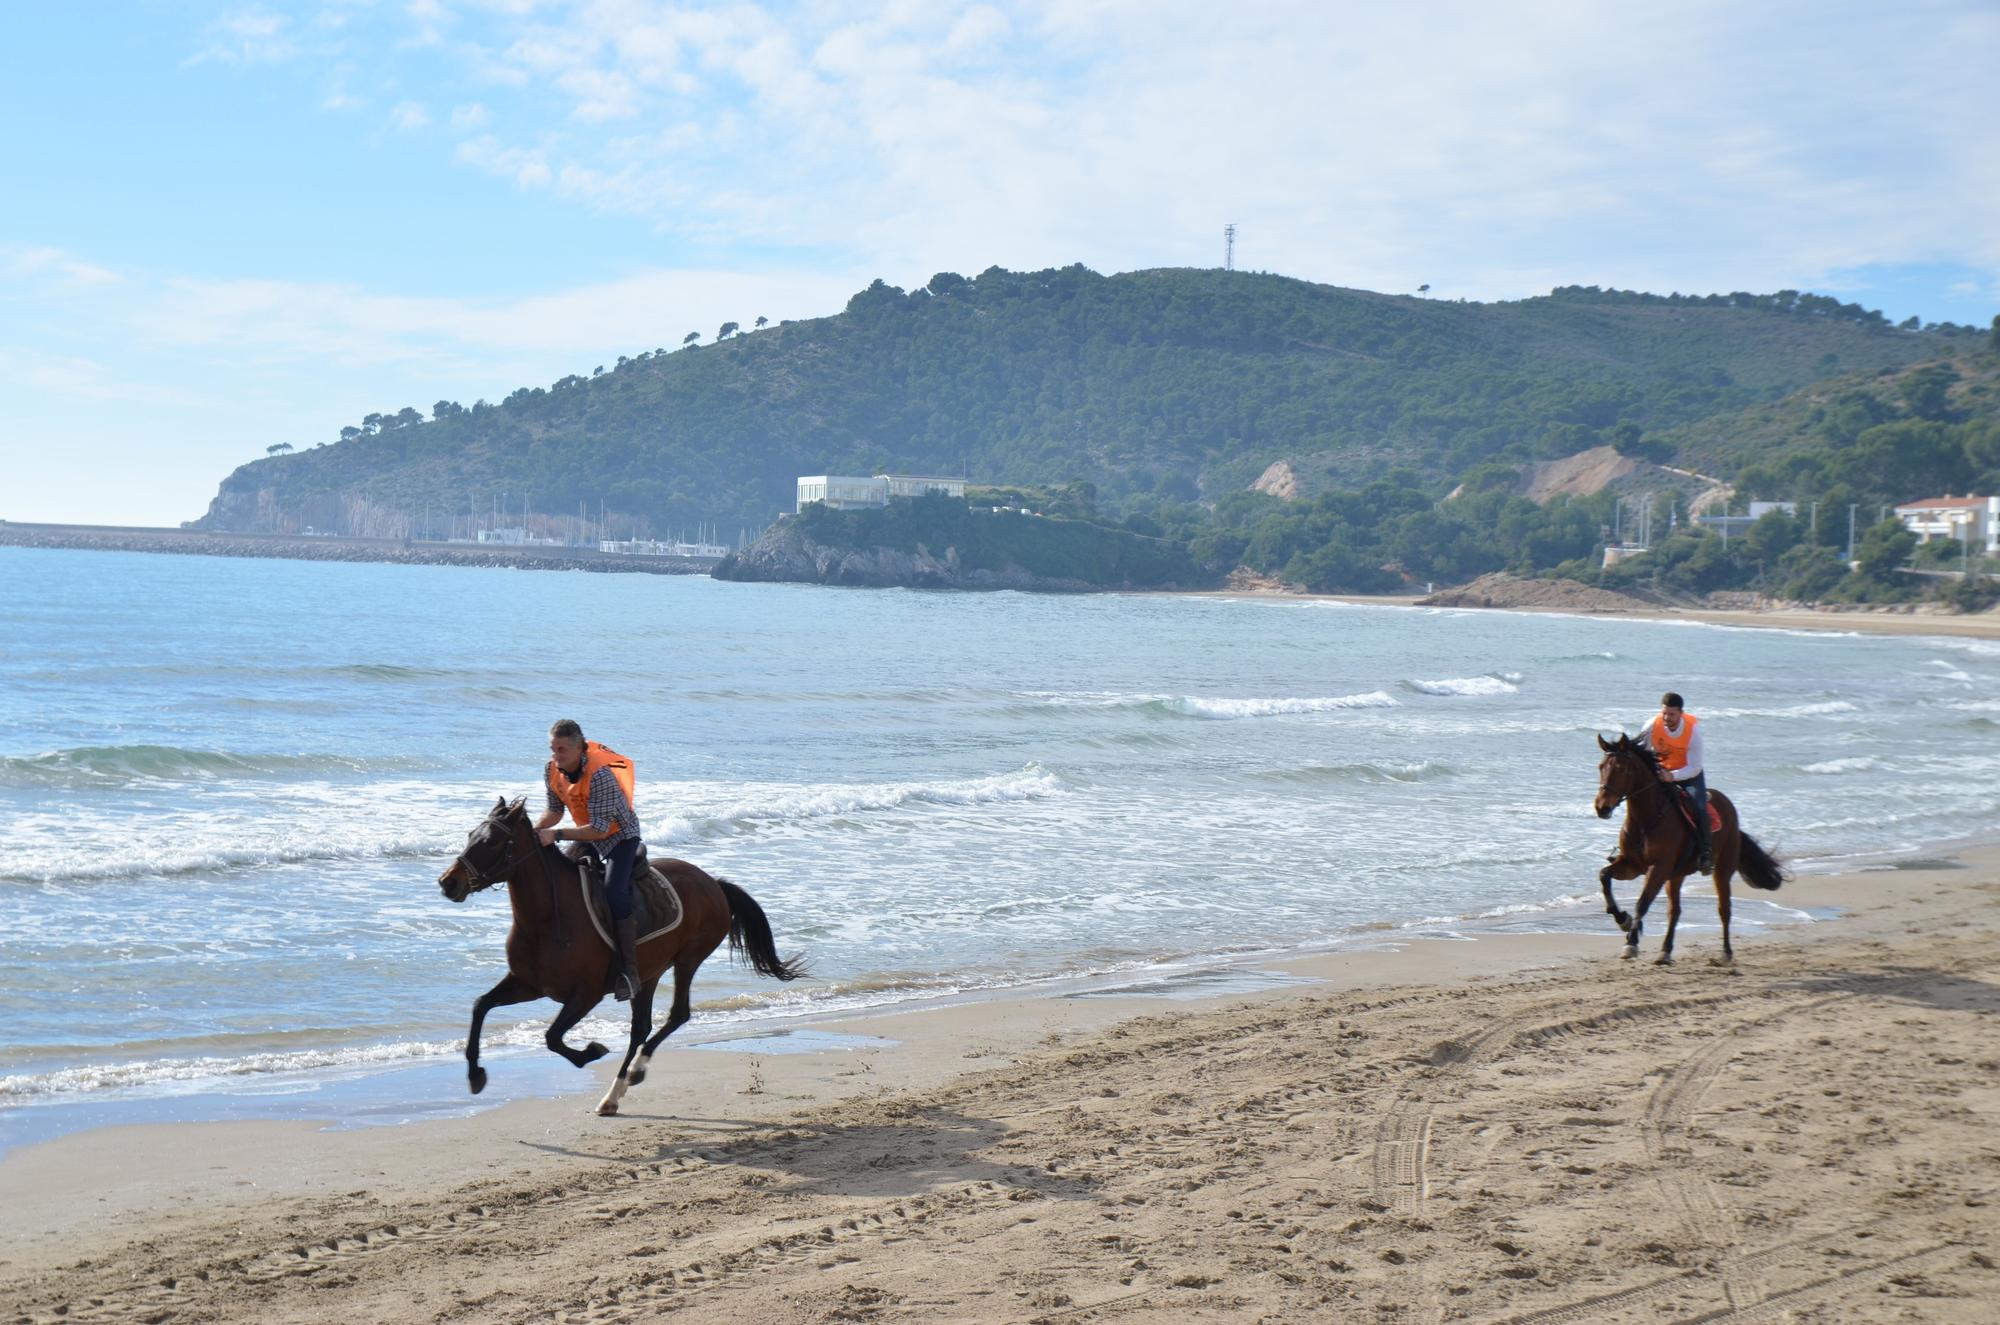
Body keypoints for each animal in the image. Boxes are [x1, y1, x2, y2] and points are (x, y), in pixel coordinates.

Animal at [438, 800, 804, 1120]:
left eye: (491, 841)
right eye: (471, 834)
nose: (448, 882)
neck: (548, 918)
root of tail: (714, 883)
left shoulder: (585, 994)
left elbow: (552, 1037)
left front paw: (592, 1051)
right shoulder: (528, 984)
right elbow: (481, 1006)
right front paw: (475, 1074)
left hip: (688, 958)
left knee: (677, 1015)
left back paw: (628, 1078)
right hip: (650, 971)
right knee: (642, 1026)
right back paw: (618, 1091)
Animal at [1600, 732, 1792, 972]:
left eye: (1621, 769)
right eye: (1601, 767)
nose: (1602, 808)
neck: (1646, 819)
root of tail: (1729, 807)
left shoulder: (1659, 867)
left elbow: (1642, 902)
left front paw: (1631, 944)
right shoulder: (1632, 865)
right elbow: (1604, 876)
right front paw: (1622, 919)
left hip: (1722, 869)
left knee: (1724, 909)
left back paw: (1726, 954)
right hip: (1676, 874)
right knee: (1675, 911)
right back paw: (1665, 952)